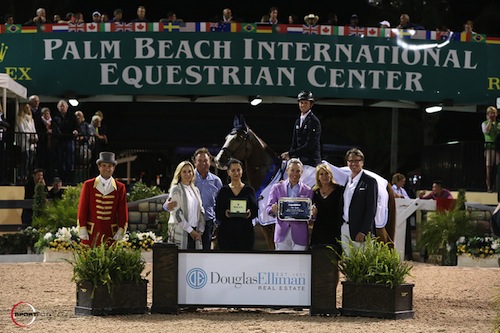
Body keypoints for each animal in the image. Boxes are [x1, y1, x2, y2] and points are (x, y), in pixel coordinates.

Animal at [213, 114, 396, 249]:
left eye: (239, 138)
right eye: (226, 137)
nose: (218, 160)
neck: (270, 176)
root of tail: (383, 180)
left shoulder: (272, 225)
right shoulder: (267, 228)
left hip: (377, 226)